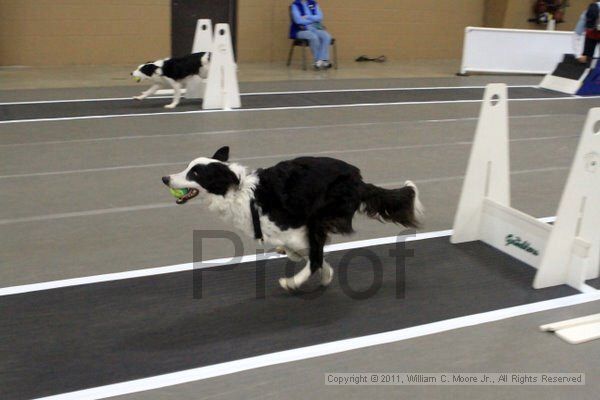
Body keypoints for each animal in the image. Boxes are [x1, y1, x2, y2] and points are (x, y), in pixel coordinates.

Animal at [162, 145, 424, 292]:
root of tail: (358, 180)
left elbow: (314, 257)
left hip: (320, 215)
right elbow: (304, 254)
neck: (242, 193)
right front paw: (324, 273)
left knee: (314, 255)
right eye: (188, 167)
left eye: (195, 173)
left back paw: (293, 282)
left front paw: (309, 276)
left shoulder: (297, 231)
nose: (165, 178)